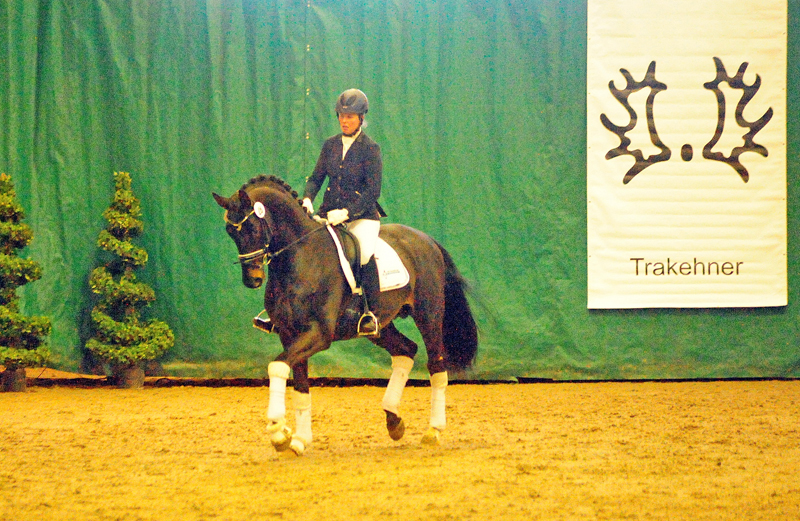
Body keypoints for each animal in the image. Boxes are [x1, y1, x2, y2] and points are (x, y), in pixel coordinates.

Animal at [209, 176, 478, 456]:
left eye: (251, 227)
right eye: (230, 232)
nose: (252, 280)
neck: (302, 256)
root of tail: (427, 240)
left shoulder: (318, 333)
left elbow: (277, 367)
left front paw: (278, 432)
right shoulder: (289, 334)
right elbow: (300, 387)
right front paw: (299, 439)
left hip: (429, 314)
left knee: (436, 365)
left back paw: (433, 430)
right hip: (380, 325)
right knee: (406, 350)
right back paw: (394, 421)